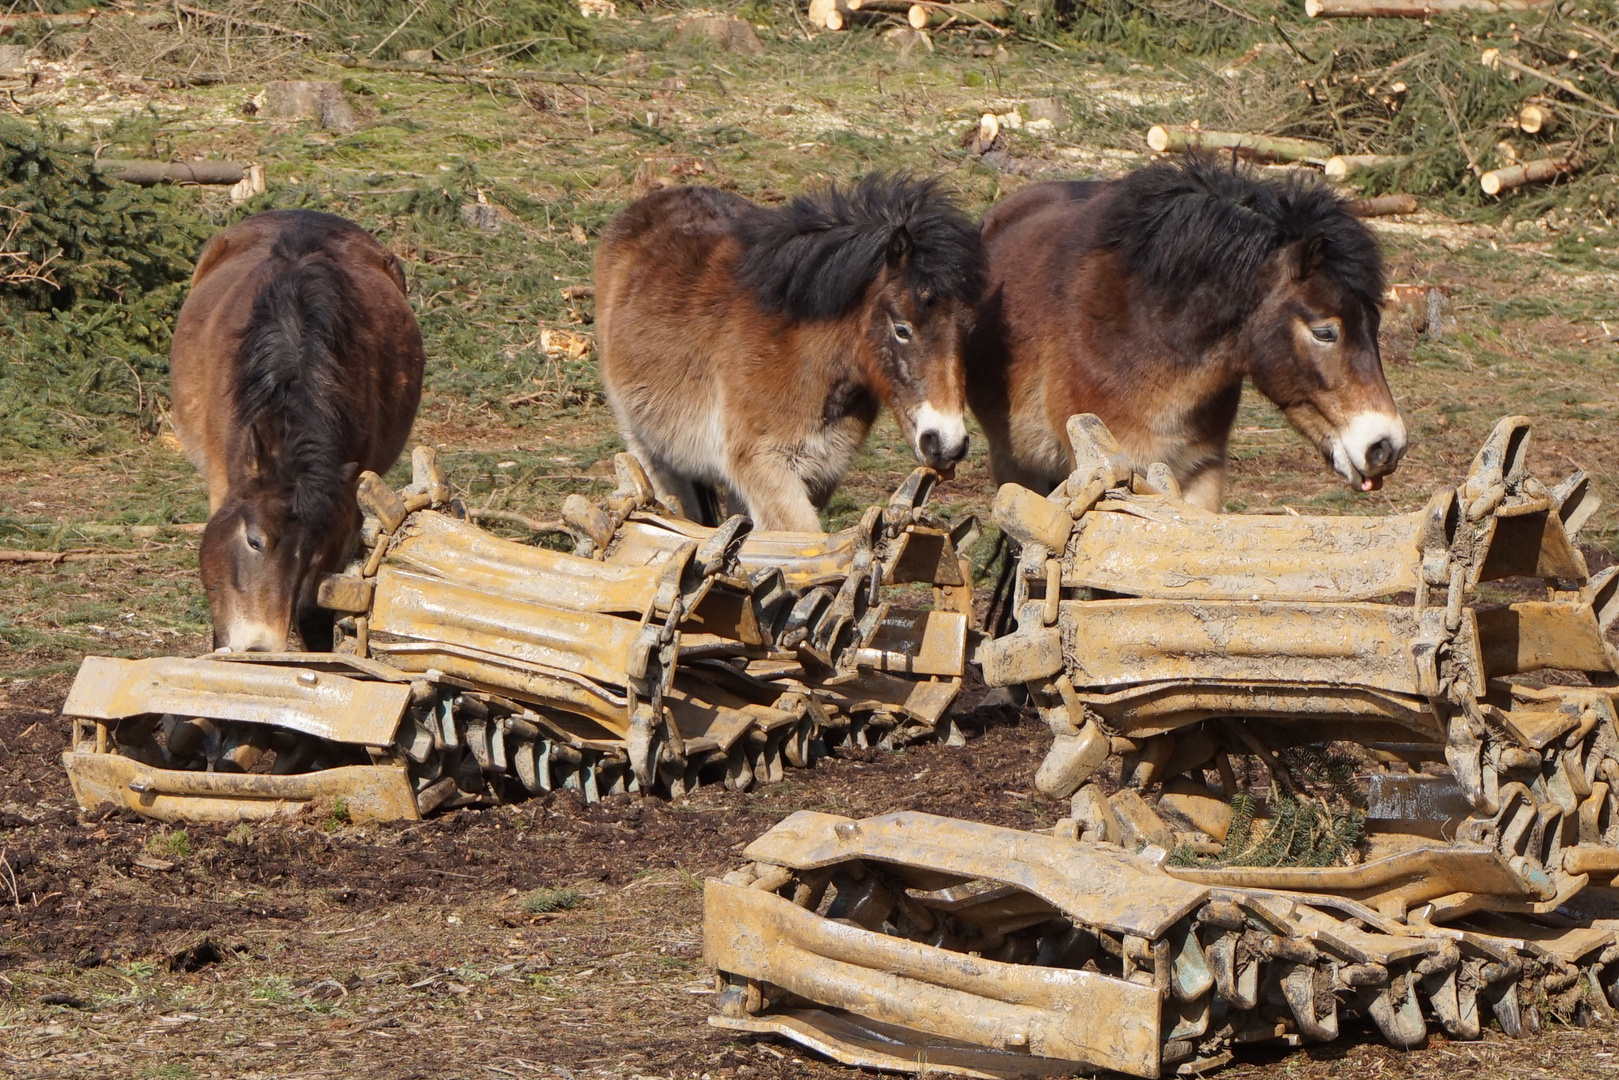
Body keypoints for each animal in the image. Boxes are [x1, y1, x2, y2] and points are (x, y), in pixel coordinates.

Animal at [170, 208, 424, 650]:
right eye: (254, 540)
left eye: (308, 557)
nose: (259, 646)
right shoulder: (223, 483)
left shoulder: (344, 513)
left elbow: (317, 607)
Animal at [589, 172, 977, 531]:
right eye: (902, 329)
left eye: (969, 329)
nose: (946, 443)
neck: (802, 359)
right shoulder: (768, 471)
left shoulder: (819, 474)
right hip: (649, 450)